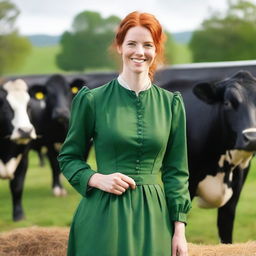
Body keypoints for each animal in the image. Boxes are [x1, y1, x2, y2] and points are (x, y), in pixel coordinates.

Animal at [0, 79, 36, 221]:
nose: (25, 131)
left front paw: (19, 215)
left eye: (29, 106)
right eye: (5, 107)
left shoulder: (24, 159)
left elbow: (17, 186)